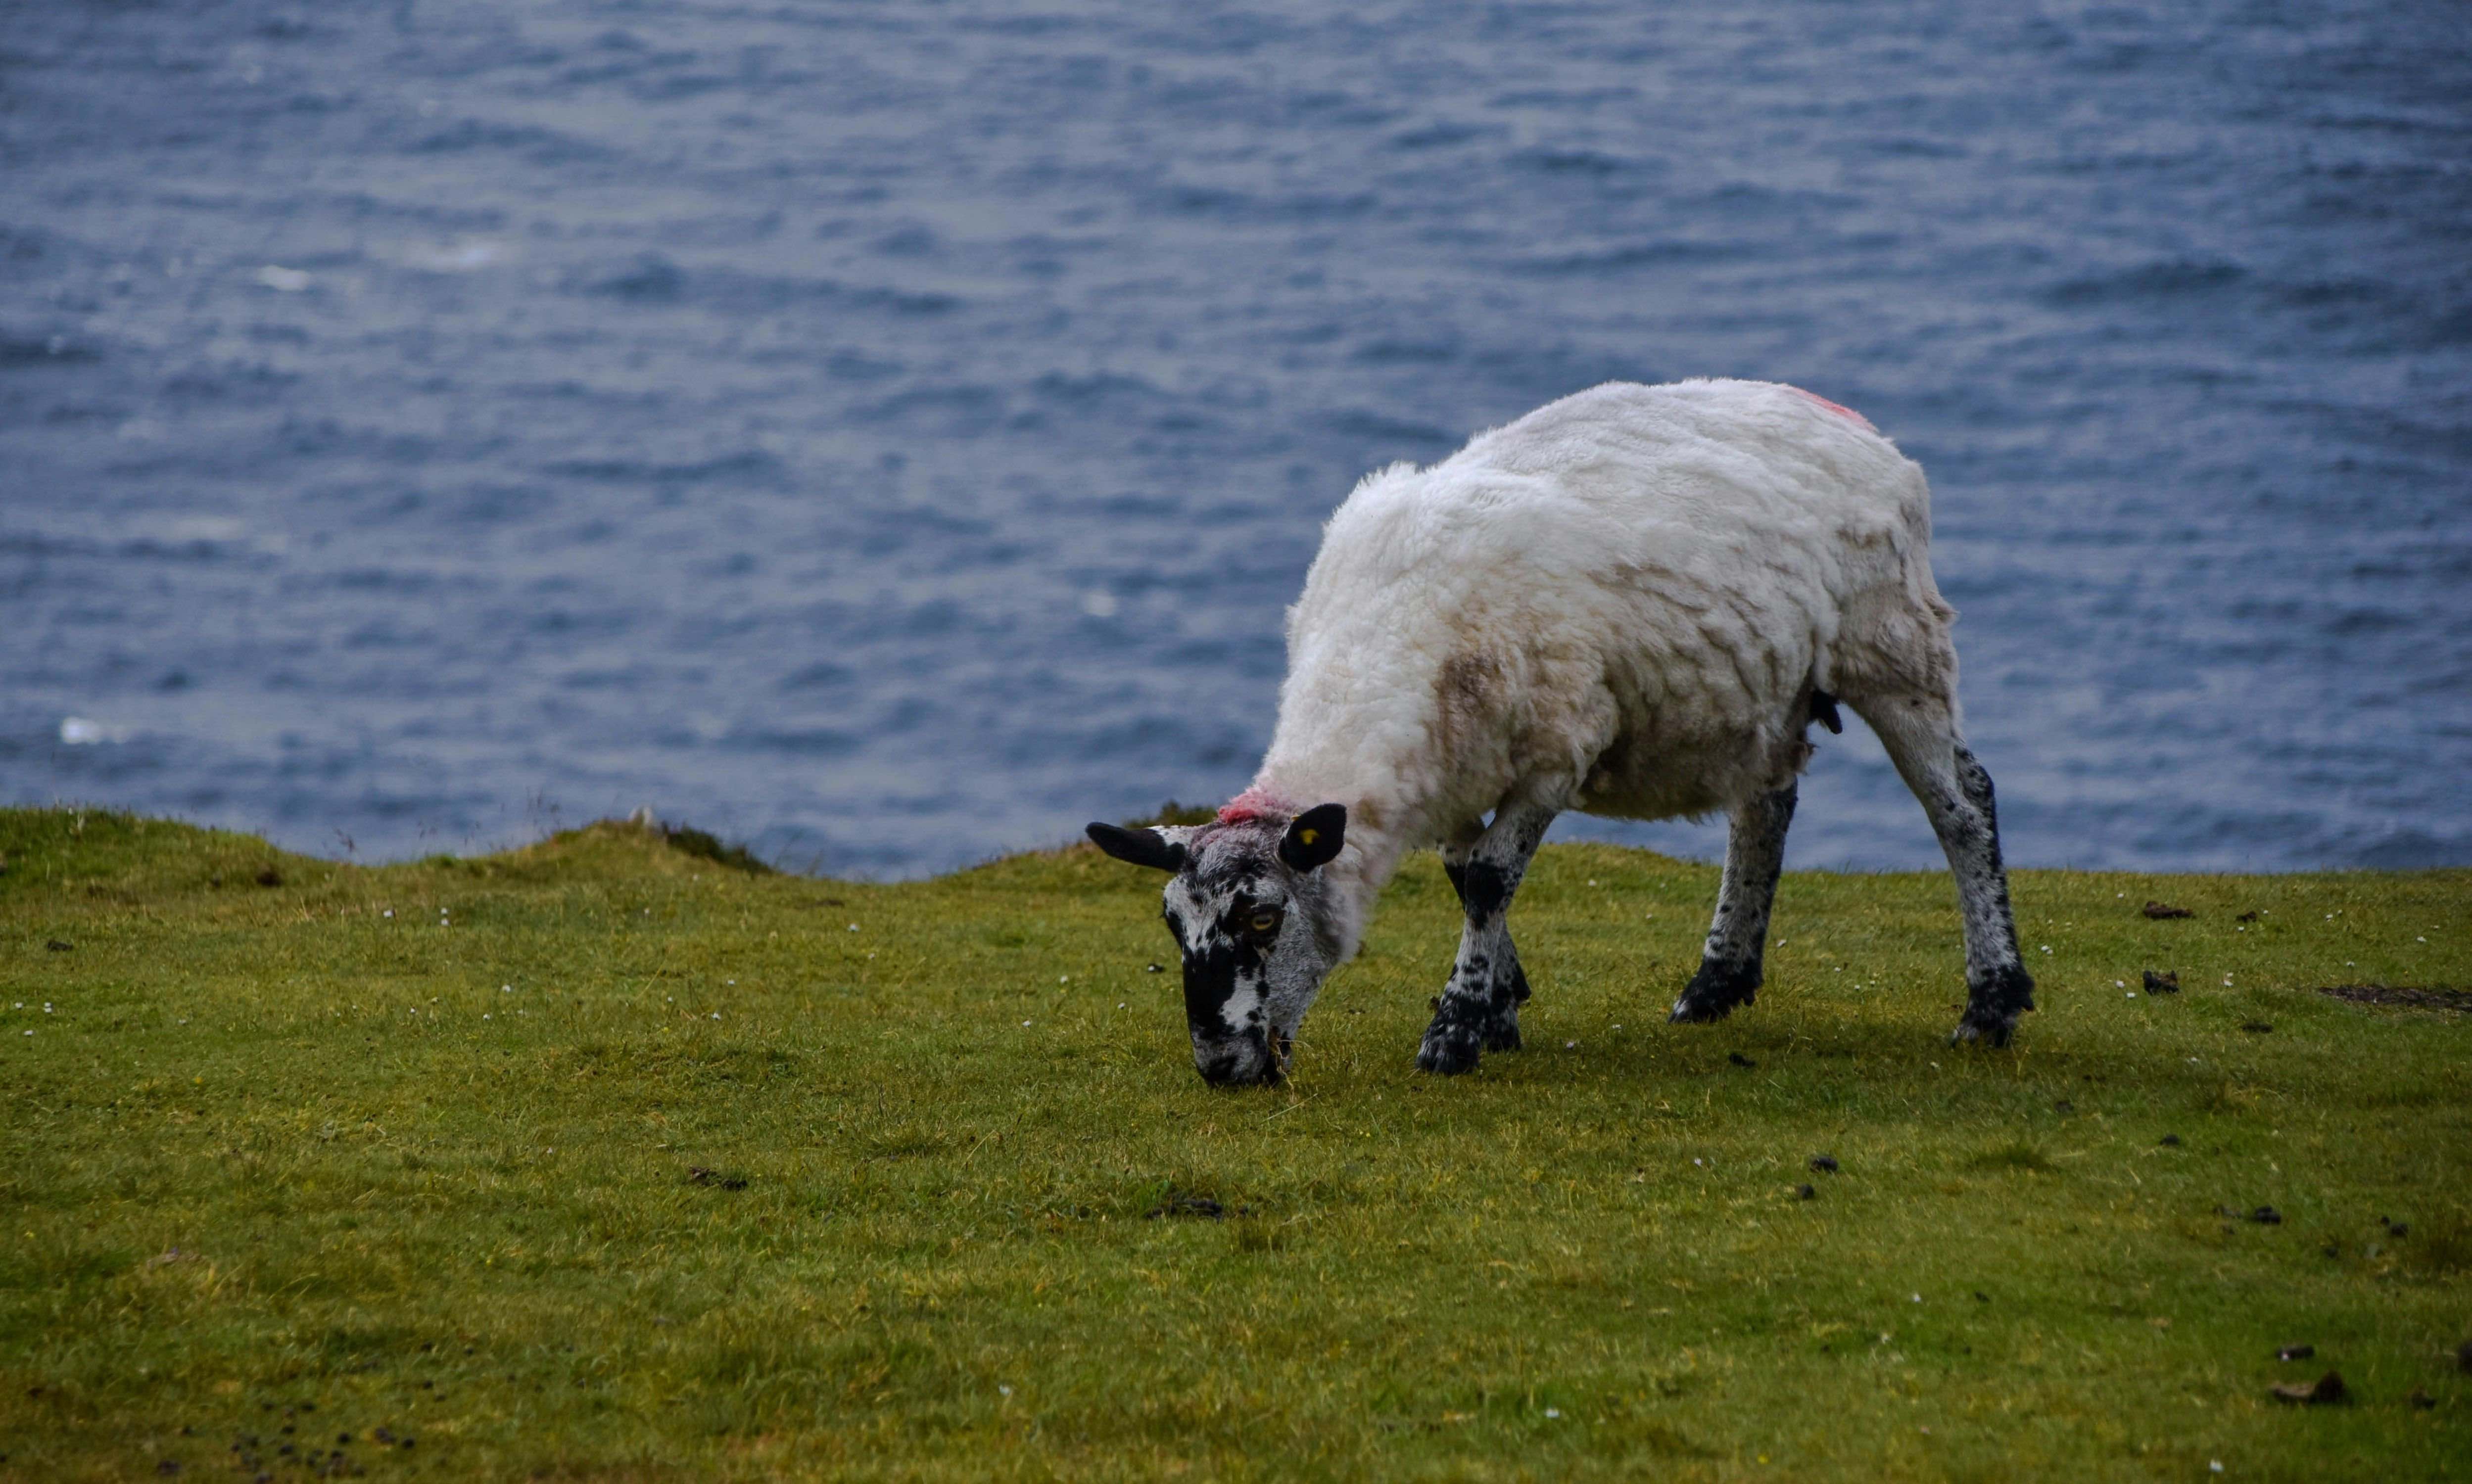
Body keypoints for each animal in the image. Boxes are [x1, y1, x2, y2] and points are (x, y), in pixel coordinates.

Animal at [1093, 376, 2037, 1083]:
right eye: (1173, 926)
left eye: (1262, 919)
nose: (1222, 1068)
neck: (1383, 651)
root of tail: (1861, 431)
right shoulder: (1448, 773)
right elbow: (1464, 872)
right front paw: (1500, 1005)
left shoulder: (1555, 751)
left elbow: (1487, 881)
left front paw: (1455, 1032)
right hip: (1766, 694)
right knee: (1764, 810)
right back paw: (1715, 983)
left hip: (1893, 645)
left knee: (1962, 804)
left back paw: (1990, 1002)